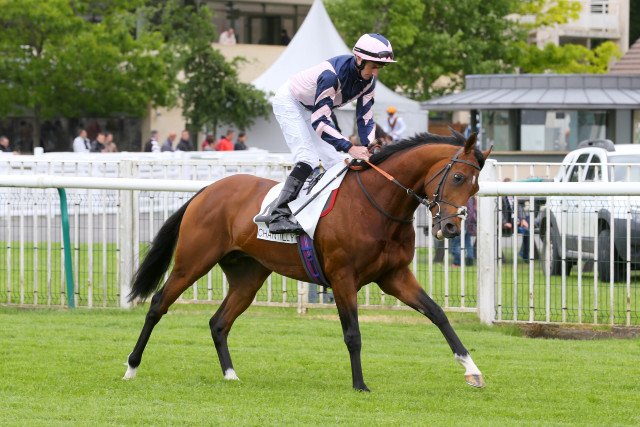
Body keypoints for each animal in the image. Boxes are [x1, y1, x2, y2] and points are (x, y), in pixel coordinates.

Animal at [123, 131, 491, 391]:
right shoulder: (343, 277)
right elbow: (353, 333)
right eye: (458, 177)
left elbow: (438, 314)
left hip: (248, 276)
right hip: (193, 261)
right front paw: (360, 384)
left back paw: (230, 374)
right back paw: (131, 367)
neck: (376, 206)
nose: (451, 227)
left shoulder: (395, 277)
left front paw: (472, 369)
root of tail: (207, 189)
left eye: (475, 188)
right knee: (157, 304)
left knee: (219, 322)